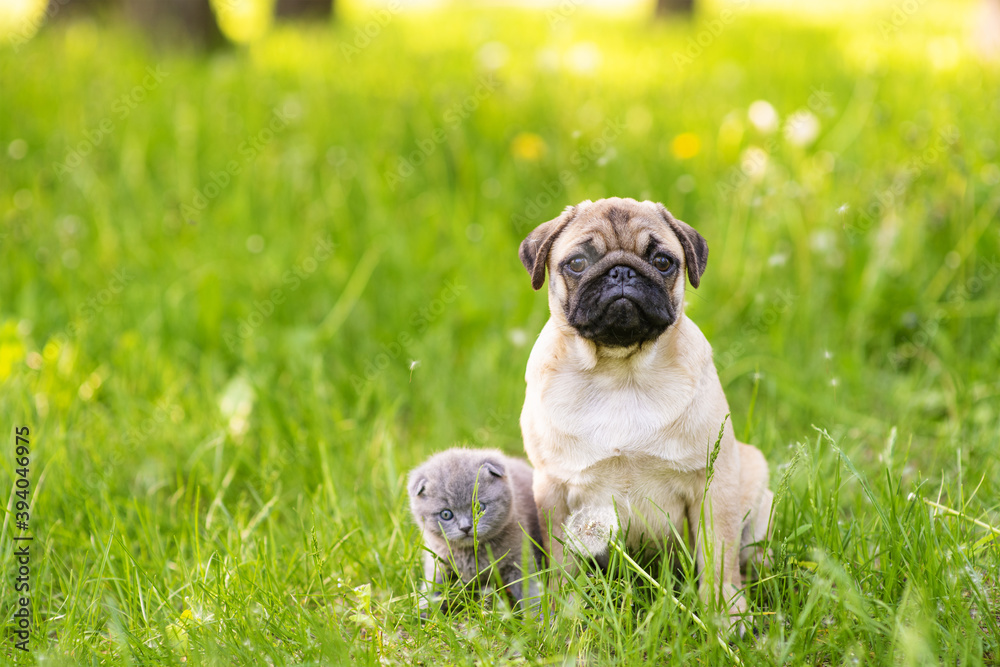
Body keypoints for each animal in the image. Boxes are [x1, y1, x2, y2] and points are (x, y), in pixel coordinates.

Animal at [408, 448, 544, 612]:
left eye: (479, 508)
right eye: (446, 514)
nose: (465, 527)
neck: (471, 552)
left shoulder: (519, 556)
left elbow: (530, 591)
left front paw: (539, 617)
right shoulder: (437, 561)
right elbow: (432, 587)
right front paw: (423, 613)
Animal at [516, 198, 772, 628]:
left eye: (663, 261)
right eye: (578, 263)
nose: (622, 271)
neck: (620, 373)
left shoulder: (712, 483)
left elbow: (718, 557)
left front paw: (725, 615)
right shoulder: (554, 491)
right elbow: (562, 564)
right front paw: (561, 616)